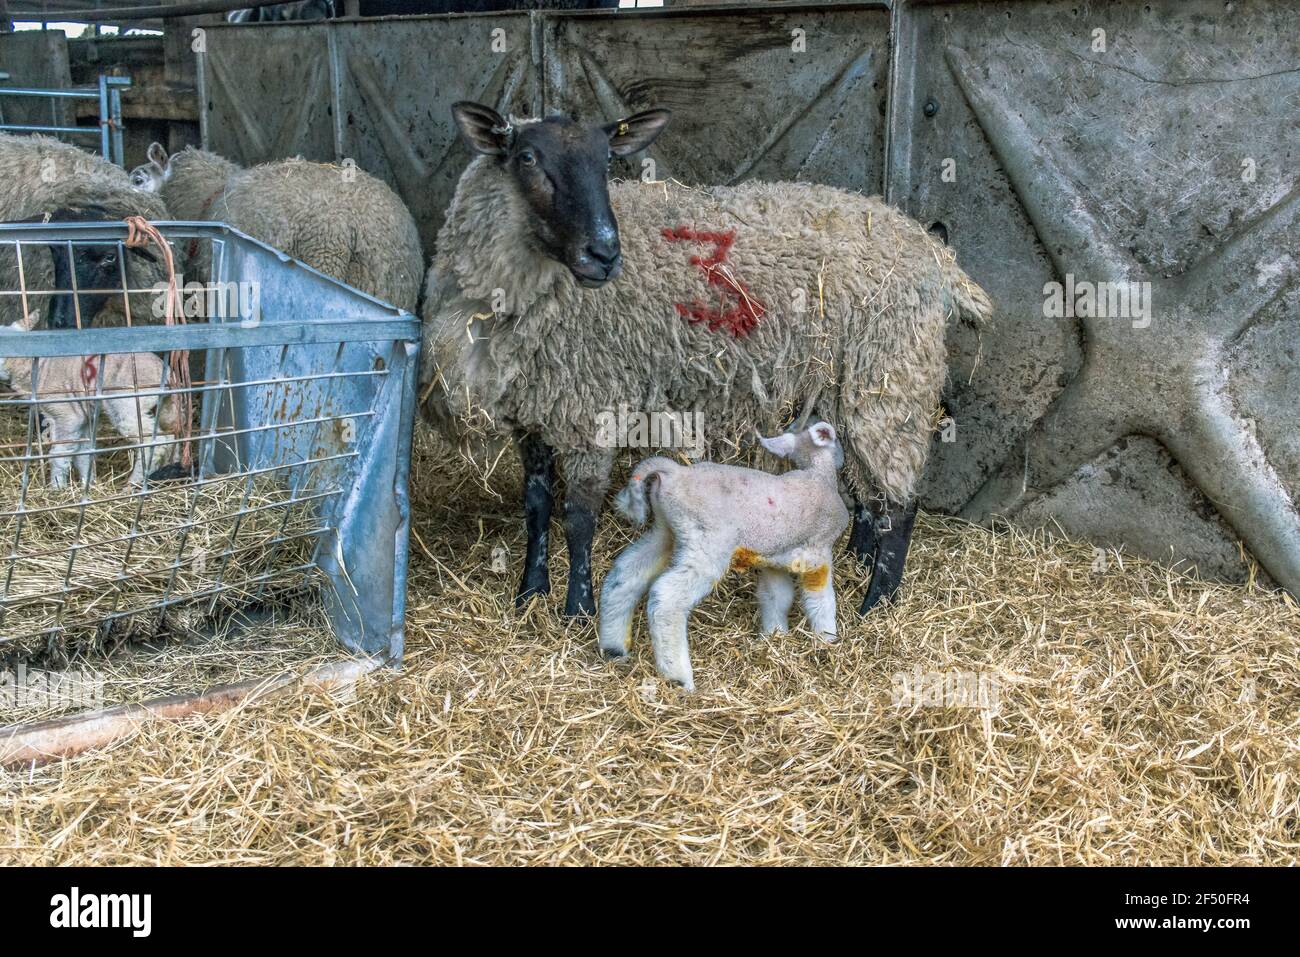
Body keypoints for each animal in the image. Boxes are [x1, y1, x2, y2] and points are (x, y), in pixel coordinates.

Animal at [0, 310, 176, 487]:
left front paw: (57, 487)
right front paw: (88, 484)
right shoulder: (81, 416)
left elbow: (60, 453)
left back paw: (133, 483)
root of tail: (166, 373)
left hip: (127, 405)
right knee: (171, 436)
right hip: (163, 406)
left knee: (155, 442)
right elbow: (83, 453)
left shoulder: (67, 414)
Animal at [420, 102, 993, 619]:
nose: (605, 254)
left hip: (891, 373)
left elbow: (579, 515)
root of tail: (935, 255)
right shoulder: (531, 410)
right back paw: (857, 558)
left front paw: (577, 610)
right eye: (527, 157)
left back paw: (877, 605)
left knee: (901, 501)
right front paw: (528, 593)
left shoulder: (591, 403)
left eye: (606, 162)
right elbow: (536, 507)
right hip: (850, 384)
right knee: (868, 487)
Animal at [599, 422, 850, 691]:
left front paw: (775, 636)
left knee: (626, 575)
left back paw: (614, 647)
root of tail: (676, 473)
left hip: (667, 531)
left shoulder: (773, 561)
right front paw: (828, 640)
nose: (843, 458)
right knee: (666, 596)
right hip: (708, 542)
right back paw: (679, 677)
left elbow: (776, 597)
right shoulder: (818, 554)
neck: (819, 475)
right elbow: (822, 600)